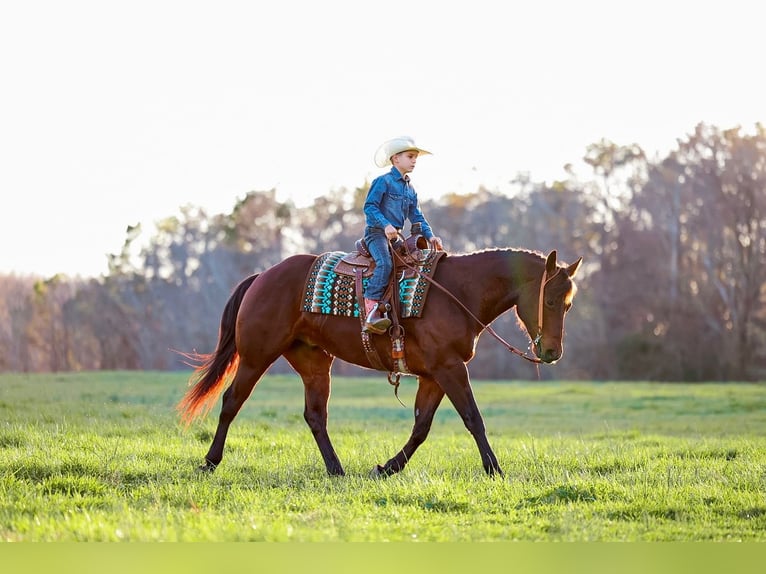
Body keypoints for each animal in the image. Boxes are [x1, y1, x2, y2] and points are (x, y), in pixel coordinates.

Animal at [178, 247, 583, 477]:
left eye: (568, 304)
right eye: (549, 301)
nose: (552, 352)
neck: (459, 293)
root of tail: (263, 276)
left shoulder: (434, 375)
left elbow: (421, 427)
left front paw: (387, 468)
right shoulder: (450, 369)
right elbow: (473, 419)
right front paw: (494, 469)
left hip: (314, 363)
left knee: (315, 416)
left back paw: (336, 470)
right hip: (256, 357)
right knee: (231, 401)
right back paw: (210, 461)